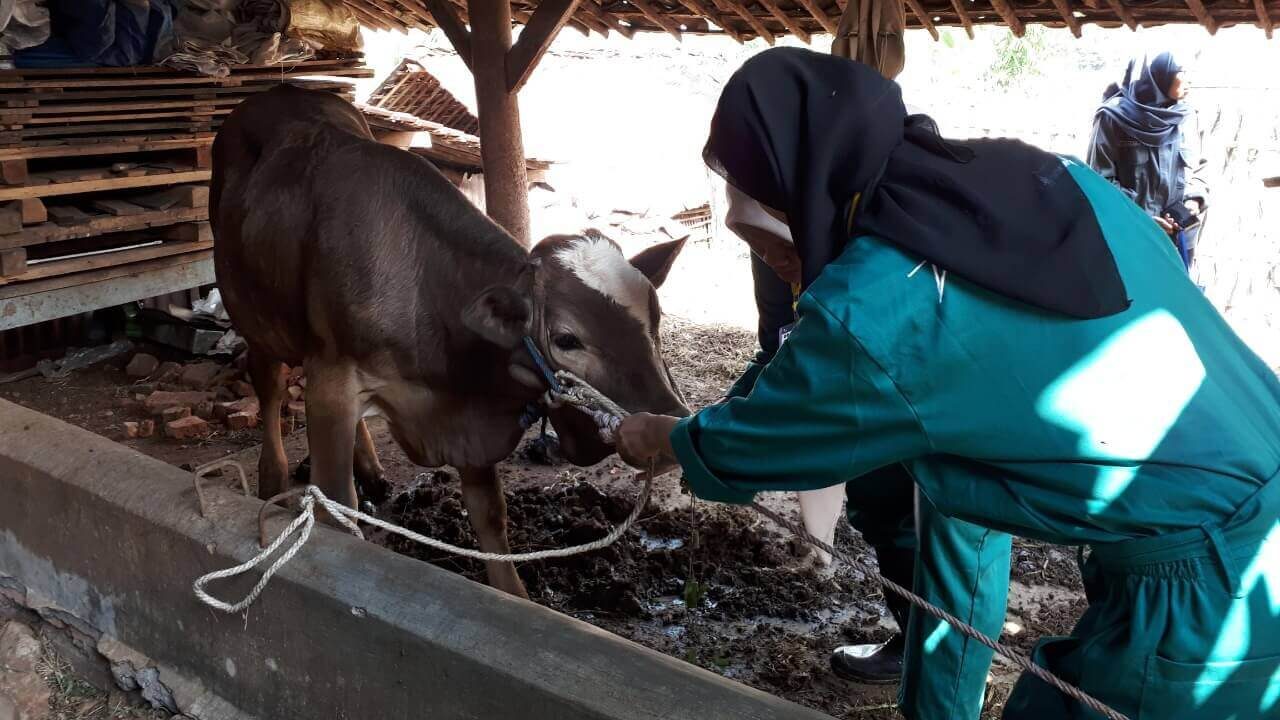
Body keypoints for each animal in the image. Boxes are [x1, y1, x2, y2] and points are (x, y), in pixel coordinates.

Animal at [211, 85, 691, 594]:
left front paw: (513, 593)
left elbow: (490, 516)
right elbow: (337, 507)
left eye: (656, 319)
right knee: (268, 386)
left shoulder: (467, 409)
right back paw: (272, 477)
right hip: (255, 316)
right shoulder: (332, 378)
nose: (670, 419)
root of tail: (283, 88)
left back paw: (371, 471)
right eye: (567, 339)